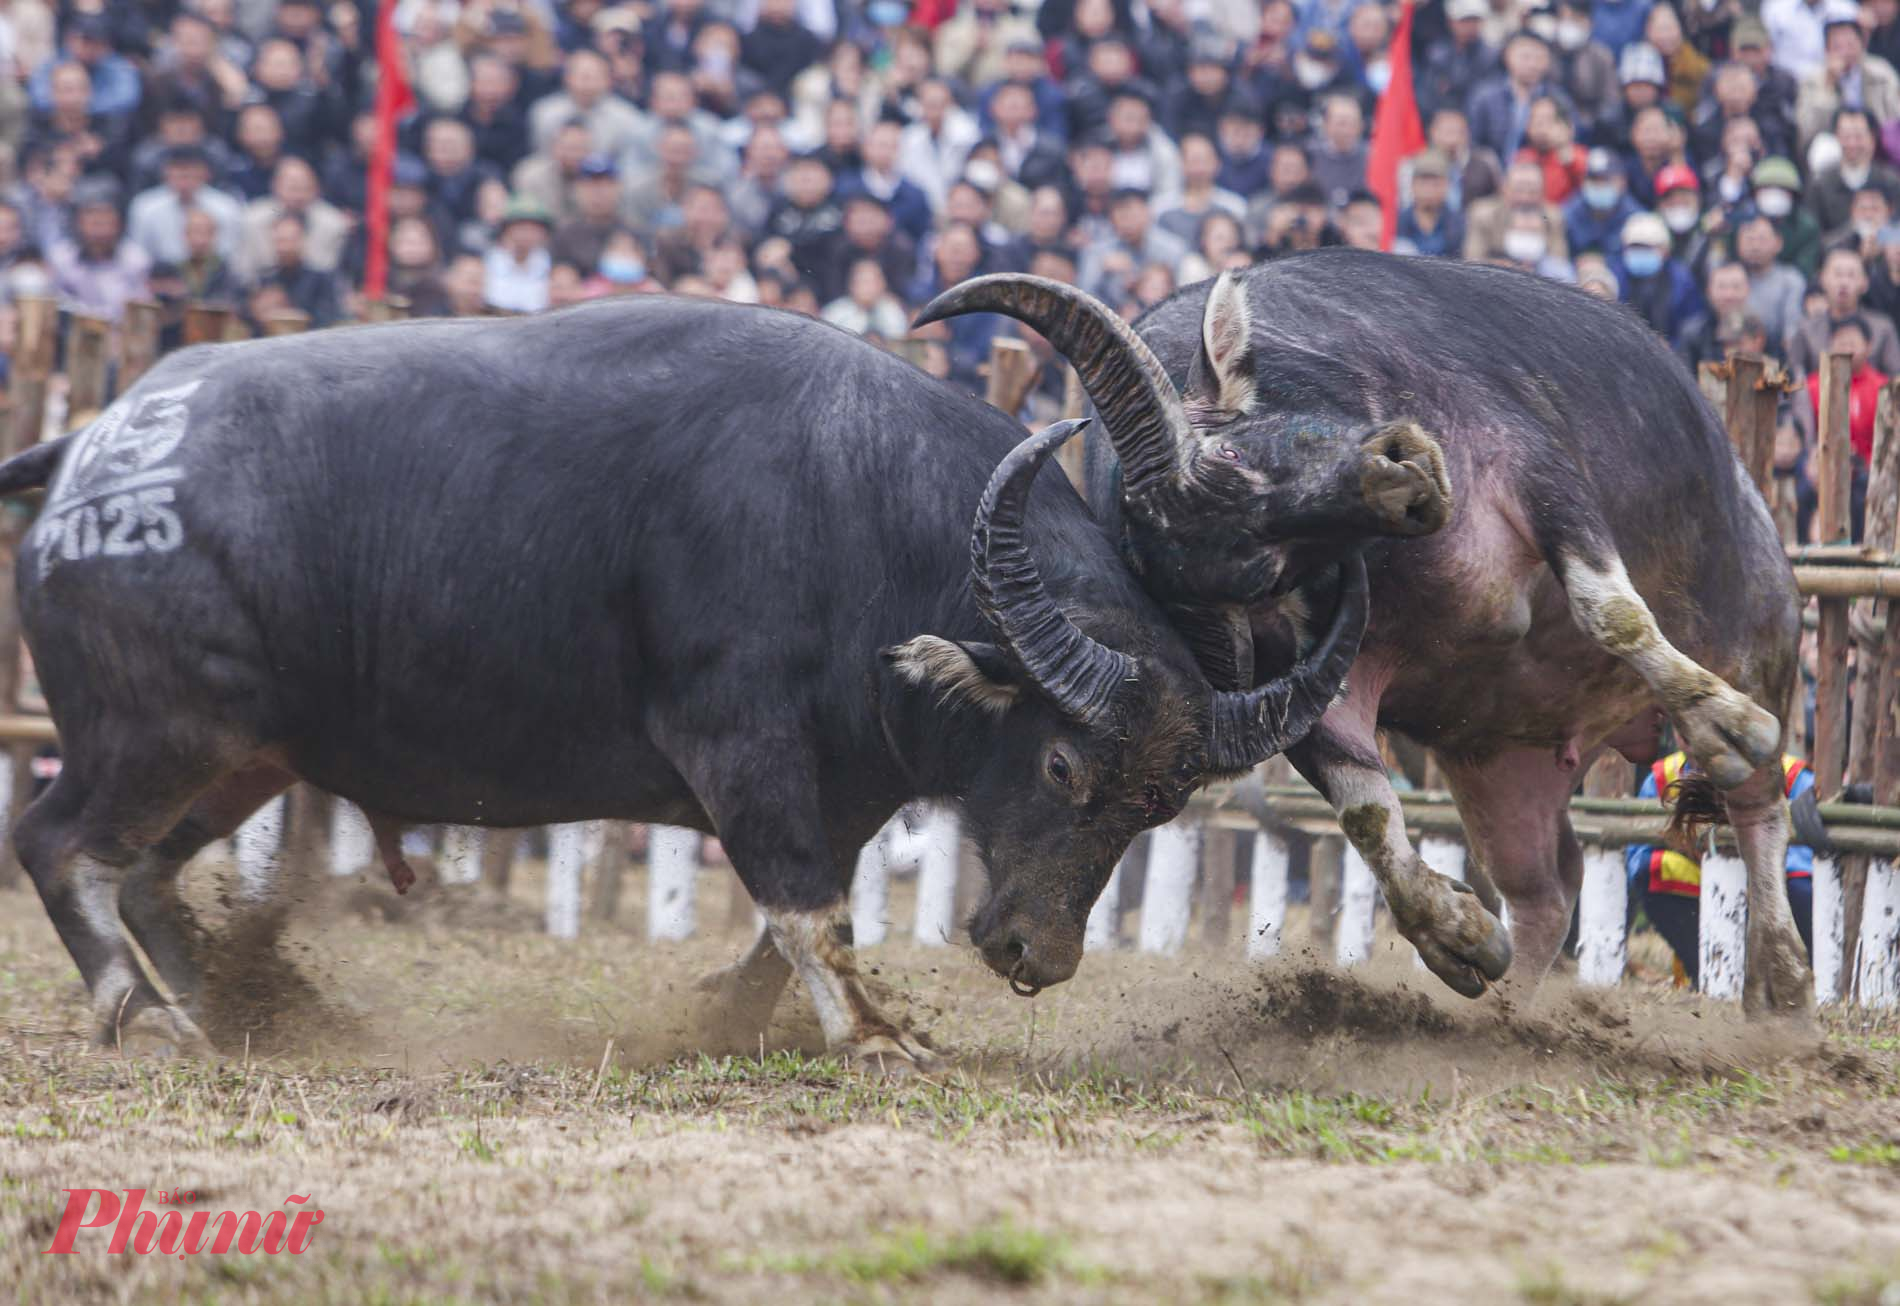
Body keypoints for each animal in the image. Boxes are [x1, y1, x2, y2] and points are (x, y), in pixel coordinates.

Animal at [0, 296, 1368, 1064]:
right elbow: (807, 905)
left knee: (152, 871)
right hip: (156, 730)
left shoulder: (843, 783)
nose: (1038, 954)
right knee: (62, 842)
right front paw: (876, 1037)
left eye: (1159, 803)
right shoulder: (739, 748)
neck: (851, 511)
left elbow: (801, 912)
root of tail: (93, 449)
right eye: (1061, 761)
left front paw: (729, 1015)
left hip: (245, 755)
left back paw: (227, 1011)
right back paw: (146, 1018)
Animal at [927, 250, 1816, 1018]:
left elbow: (1611, 609)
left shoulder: (1543, 478)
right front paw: (1458, 935)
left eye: (1236, 457)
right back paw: (1511, 1016)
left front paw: (1728, 723)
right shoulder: (1311, 683)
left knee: (1758, 804)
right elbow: (1365, 815)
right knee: (1548, 887)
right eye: (1260, 573)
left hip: (1759, 632)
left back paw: (1782, 986)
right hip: (1501, 769)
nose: (1406, 477)